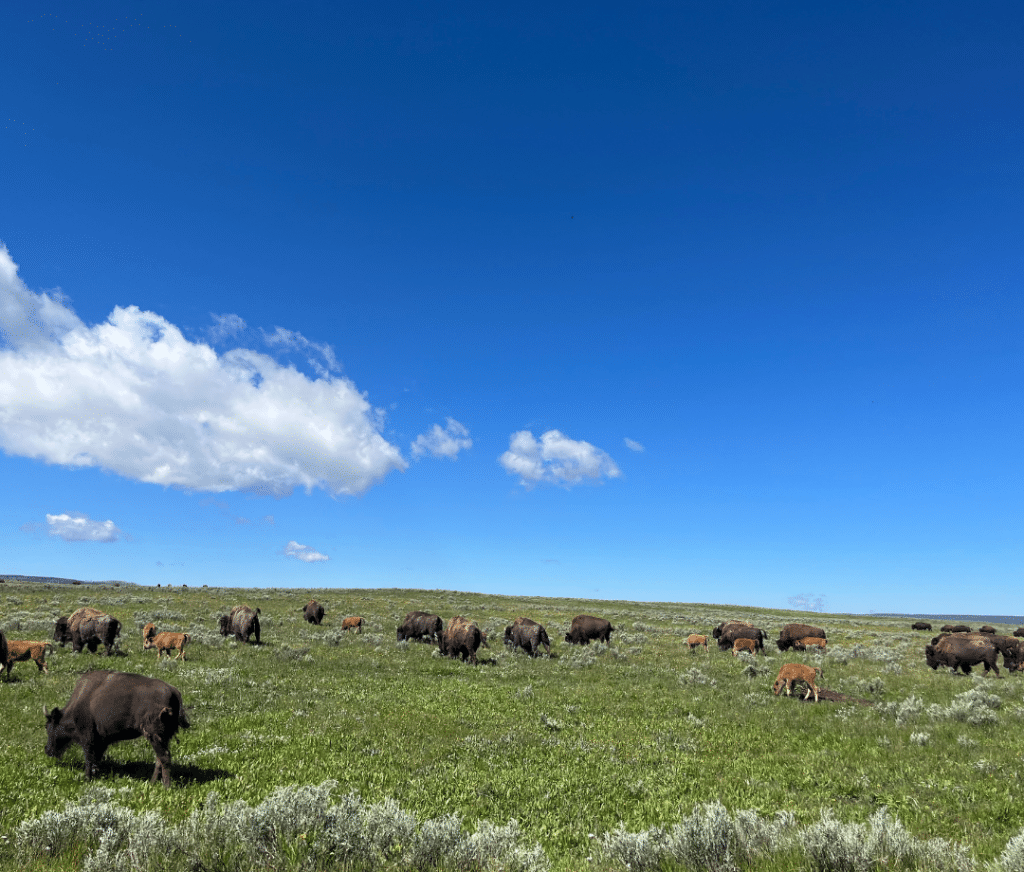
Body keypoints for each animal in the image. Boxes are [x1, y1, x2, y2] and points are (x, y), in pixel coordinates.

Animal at [44, 670, 190, 787]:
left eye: (49, 727)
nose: (47, 750)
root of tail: (174, 691)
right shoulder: (101, 741)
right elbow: (96, 758)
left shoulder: (88, 738)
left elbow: (89, 757)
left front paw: (87, 778)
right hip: (163, 737)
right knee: (159, 759)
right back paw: (152, 782)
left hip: (154, 735)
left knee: (164, 757)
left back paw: (166, 786)